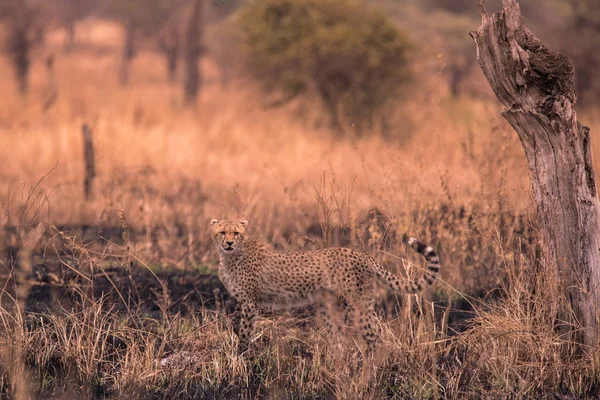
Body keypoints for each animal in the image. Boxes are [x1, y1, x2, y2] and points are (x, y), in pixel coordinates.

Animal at [211, 219, 440, 354]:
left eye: (236, 233)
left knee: (375, 337)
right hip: (331, 308)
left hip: (359, 306)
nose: (228, 243)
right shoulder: (245, 300)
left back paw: (371, 372)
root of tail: (362, 255)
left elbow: (245, 330)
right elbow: (234, 320)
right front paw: (237, 335)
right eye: (222, 232)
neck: (230, 256)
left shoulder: (250, 302)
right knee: (341, 340)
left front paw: (242, 356)